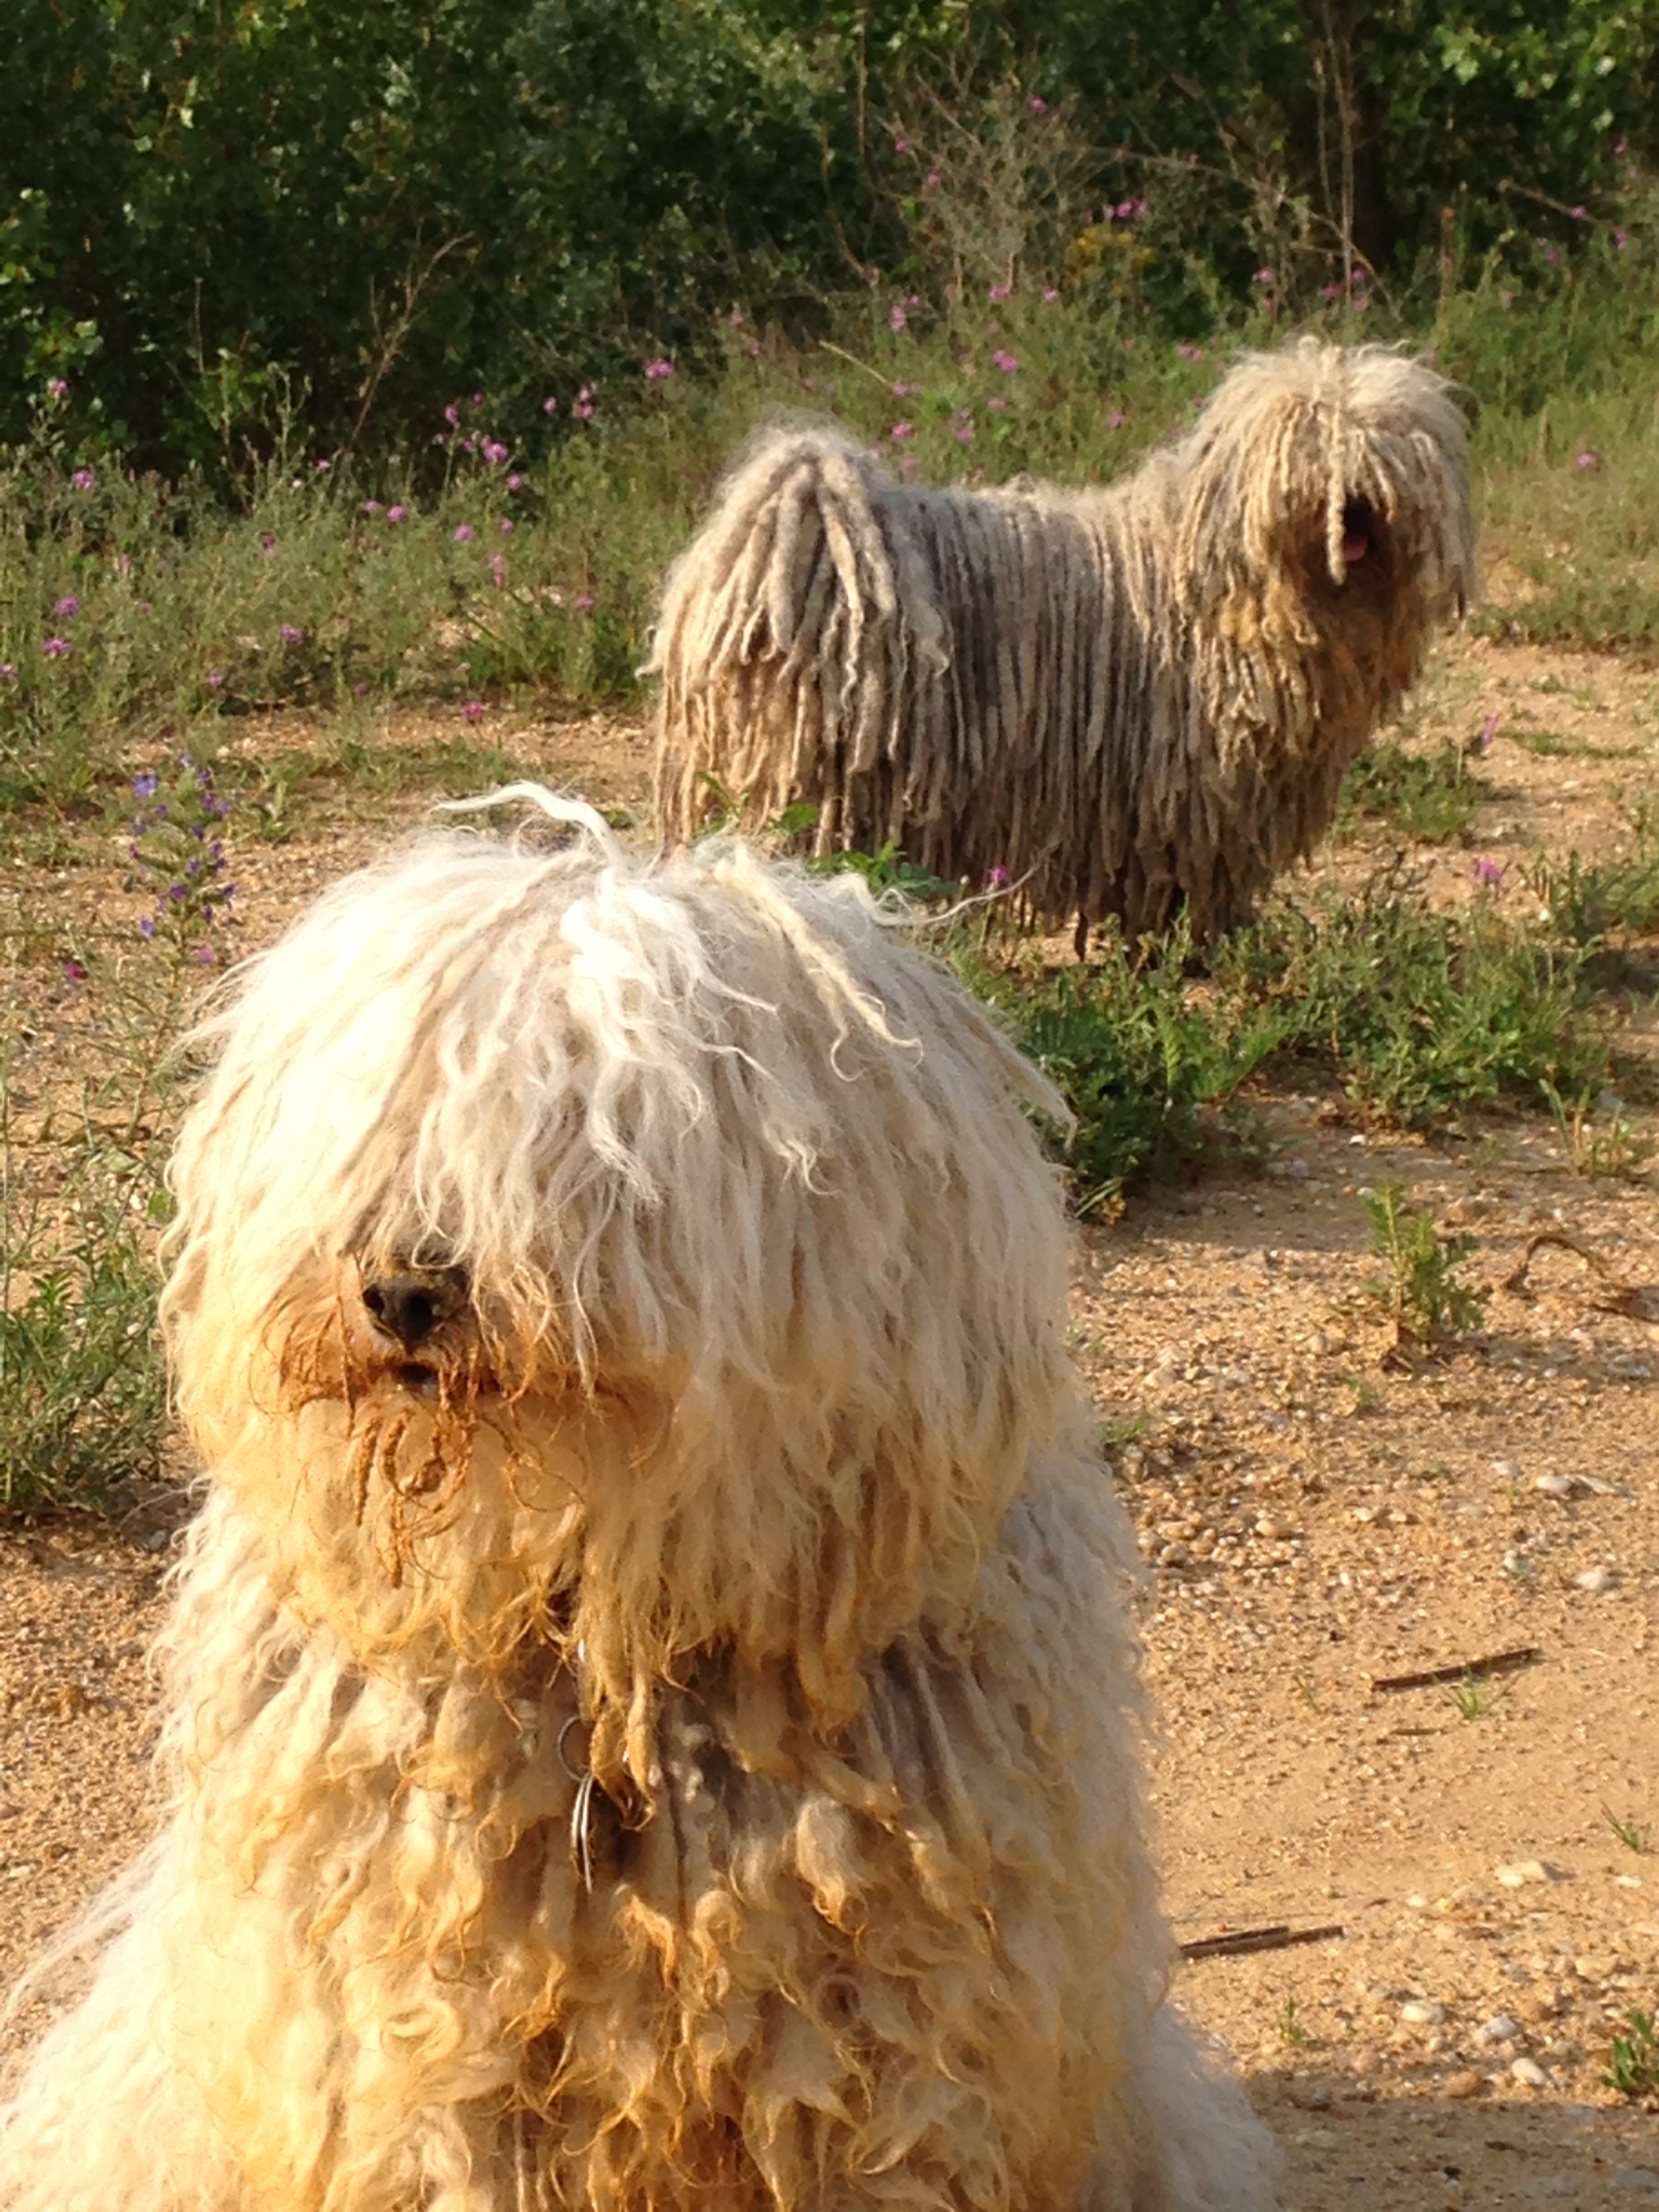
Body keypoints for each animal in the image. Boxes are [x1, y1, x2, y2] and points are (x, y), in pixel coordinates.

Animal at [0, 792, 1275, 2210]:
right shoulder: (427, 2054)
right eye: (379, 1115)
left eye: (586, 1125)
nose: (399, 1289)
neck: (605, 1648)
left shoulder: (892, 2059)